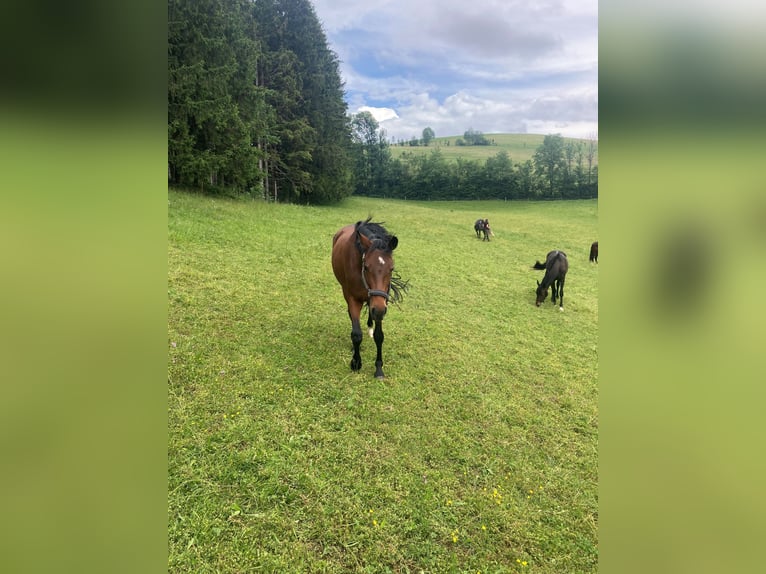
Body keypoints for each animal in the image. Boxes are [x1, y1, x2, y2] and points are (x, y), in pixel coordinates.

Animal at [332, 218, 412, 380]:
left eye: (391, 268)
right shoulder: (353, 298)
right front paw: (356, 363)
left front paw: (379, 369)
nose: (379, 310)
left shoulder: (380, 302)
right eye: (367, 267)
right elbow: (356, 334)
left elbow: (379, 335)